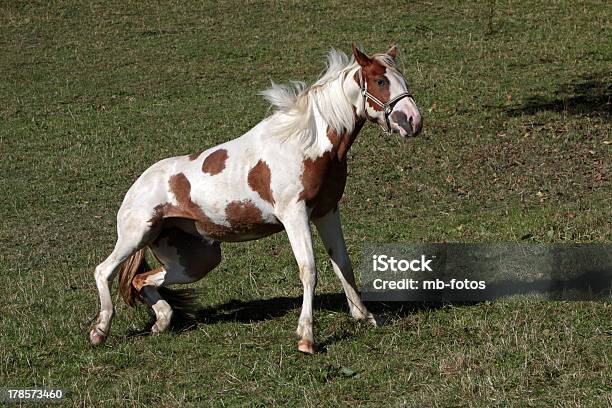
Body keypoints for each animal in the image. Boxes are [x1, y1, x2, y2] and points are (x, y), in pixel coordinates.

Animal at [89, 45, 420, 354]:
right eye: (380, 80)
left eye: (402, 78)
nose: (413, 121)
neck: (304, 143)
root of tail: (137, 186)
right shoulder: (294, 214)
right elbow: (309, 270)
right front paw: (306, 338)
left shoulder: (326, 212)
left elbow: (343, 264)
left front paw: (366, 316)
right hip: (137, 235)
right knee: (104, 271)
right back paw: (100, 331)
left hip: (197, 260)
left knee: (142, 280)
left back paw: (162, 321)